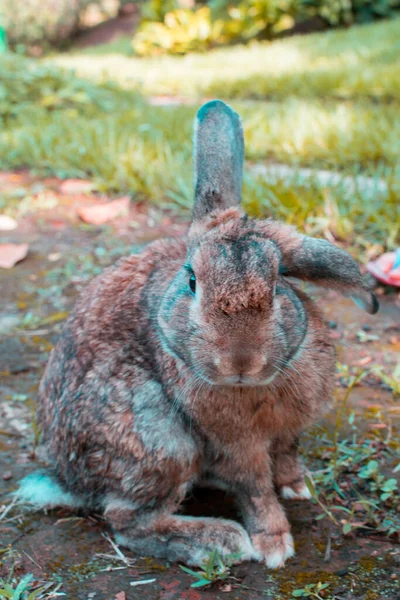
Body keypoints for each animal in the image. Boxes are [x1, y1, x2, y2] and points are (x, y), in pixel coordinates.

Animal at [15, 98, 378, 568]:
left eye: (278, 282)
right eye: (191, 282)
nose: (240, 361)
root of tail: (67, 480)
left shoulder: (288, 431)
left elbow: (285, 457)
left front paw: (298, 487)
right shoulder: (233, 443)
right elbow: (255, 488)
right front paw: (273, 544)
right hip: (163, 441)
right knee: (127, 521)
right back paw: (217, 540)